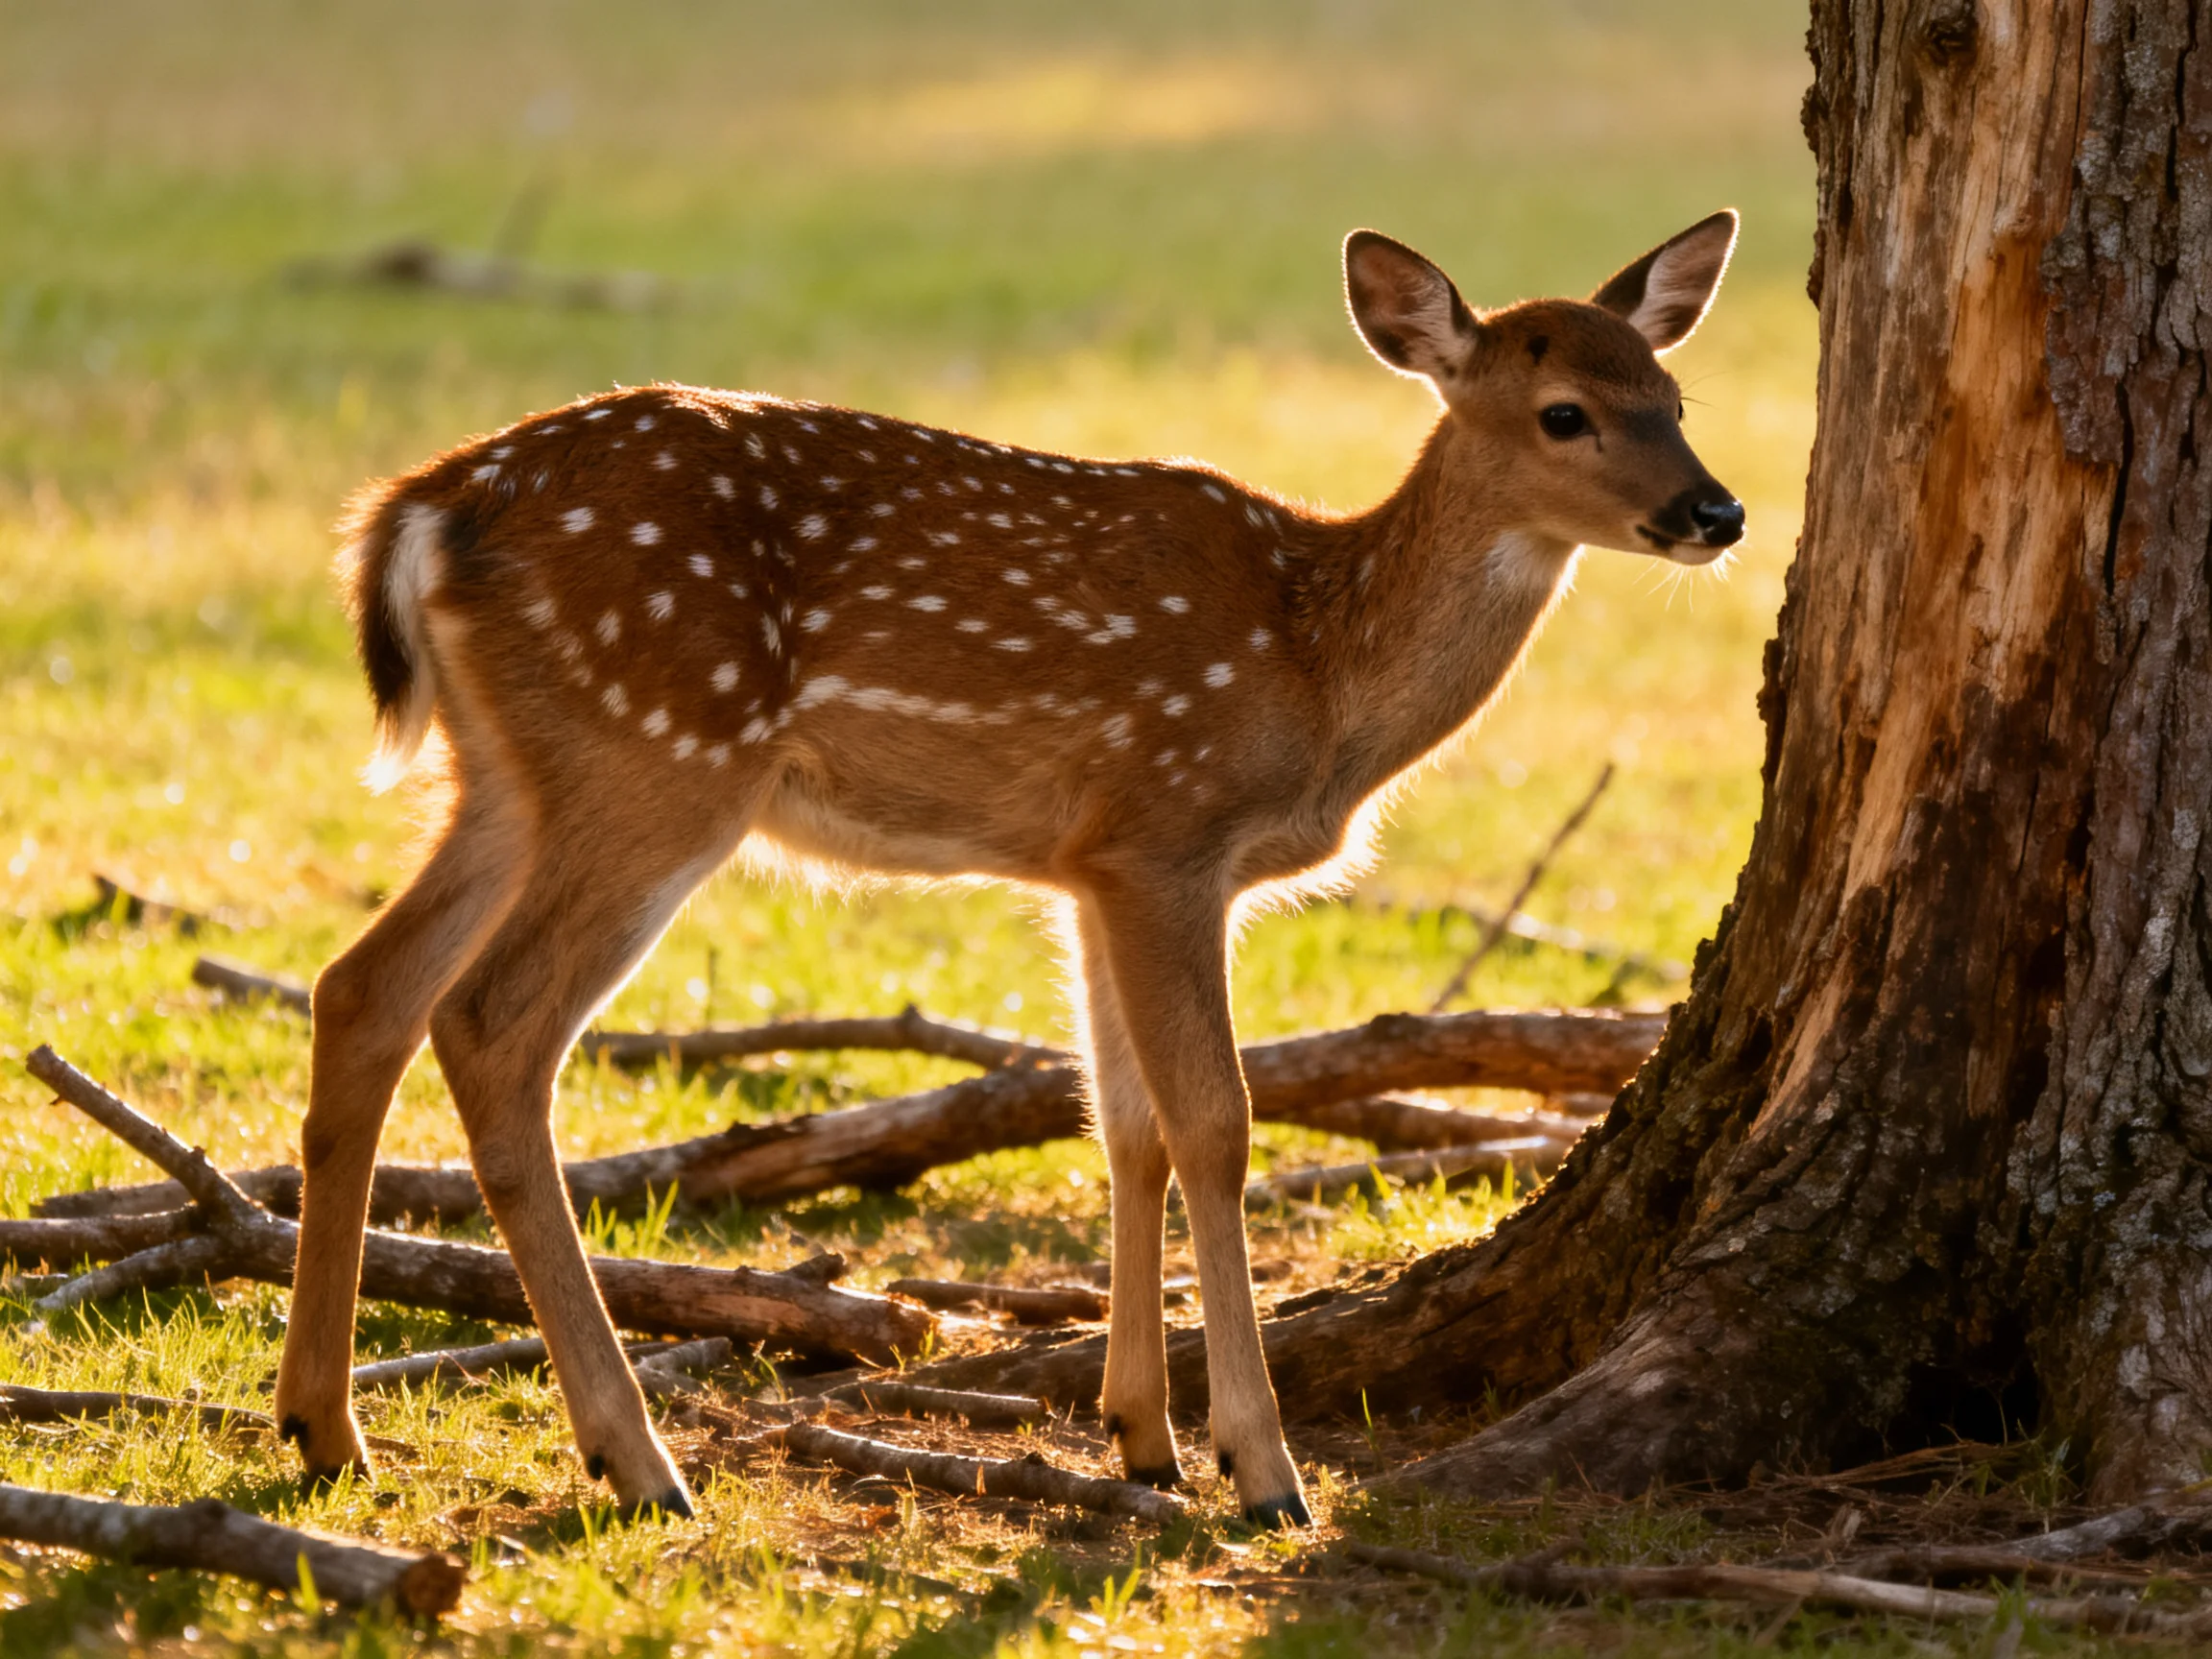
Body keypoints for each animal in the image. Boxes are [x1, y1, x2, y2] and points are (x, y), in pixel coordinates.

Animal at [273, 209, 1744, 1529]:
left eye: (1674, 395)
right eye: (1565, 412)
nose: (1716, 508)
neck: (1319, 673)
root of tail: (420, 511)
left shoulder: (1087, 866)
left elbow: (1126, 1123)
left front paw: (1144, 1436)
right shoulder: (1166, 833)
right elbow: (1216, 1124)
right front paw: (1262, 1470)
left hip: (508, 776)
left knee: (363, 987)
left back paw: (326, 1429)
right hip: (656, 756)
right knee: (492, 1024)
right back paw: (634, 1460)